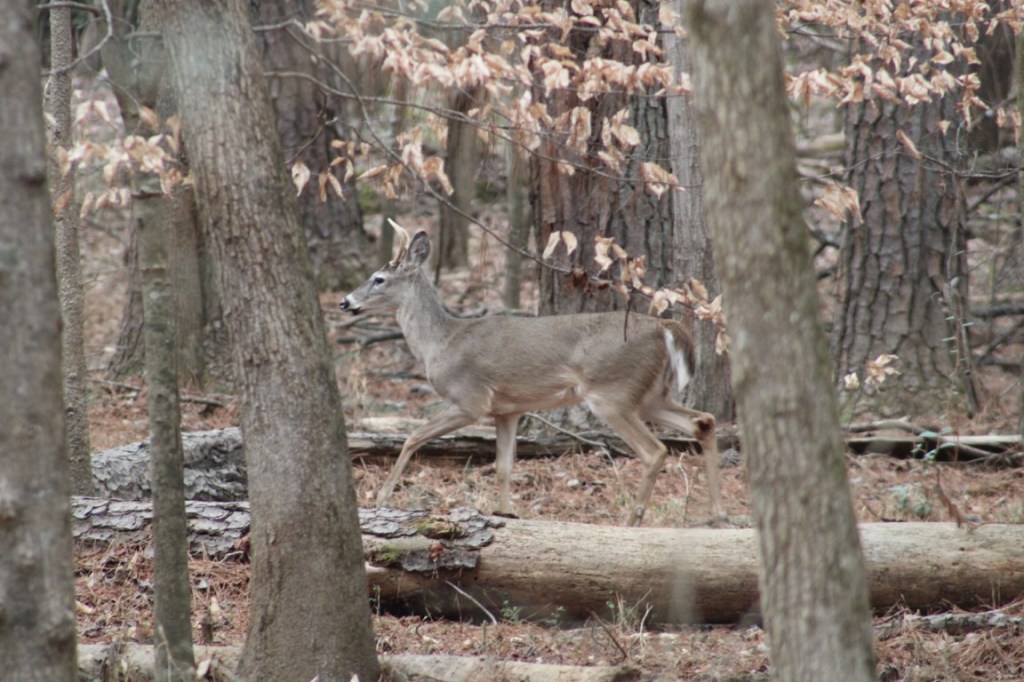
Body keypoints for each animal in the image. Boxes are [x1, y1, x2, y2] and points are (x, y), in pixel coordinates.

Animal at [340, 221, 721, 526]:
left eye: (379, 279)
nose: (345, 302)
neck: (440, 342)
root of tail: (664, 328)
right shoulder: (507, 410)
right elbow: (503, 467)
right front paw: (506, 513)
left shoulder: (470, 400)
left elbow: (412, 437)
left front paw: (382, 498)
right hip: (650, 394)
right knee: (703, 420)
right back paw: (715, 516)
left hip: (612, 393)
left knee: (655, 450)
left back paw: (632, 521)